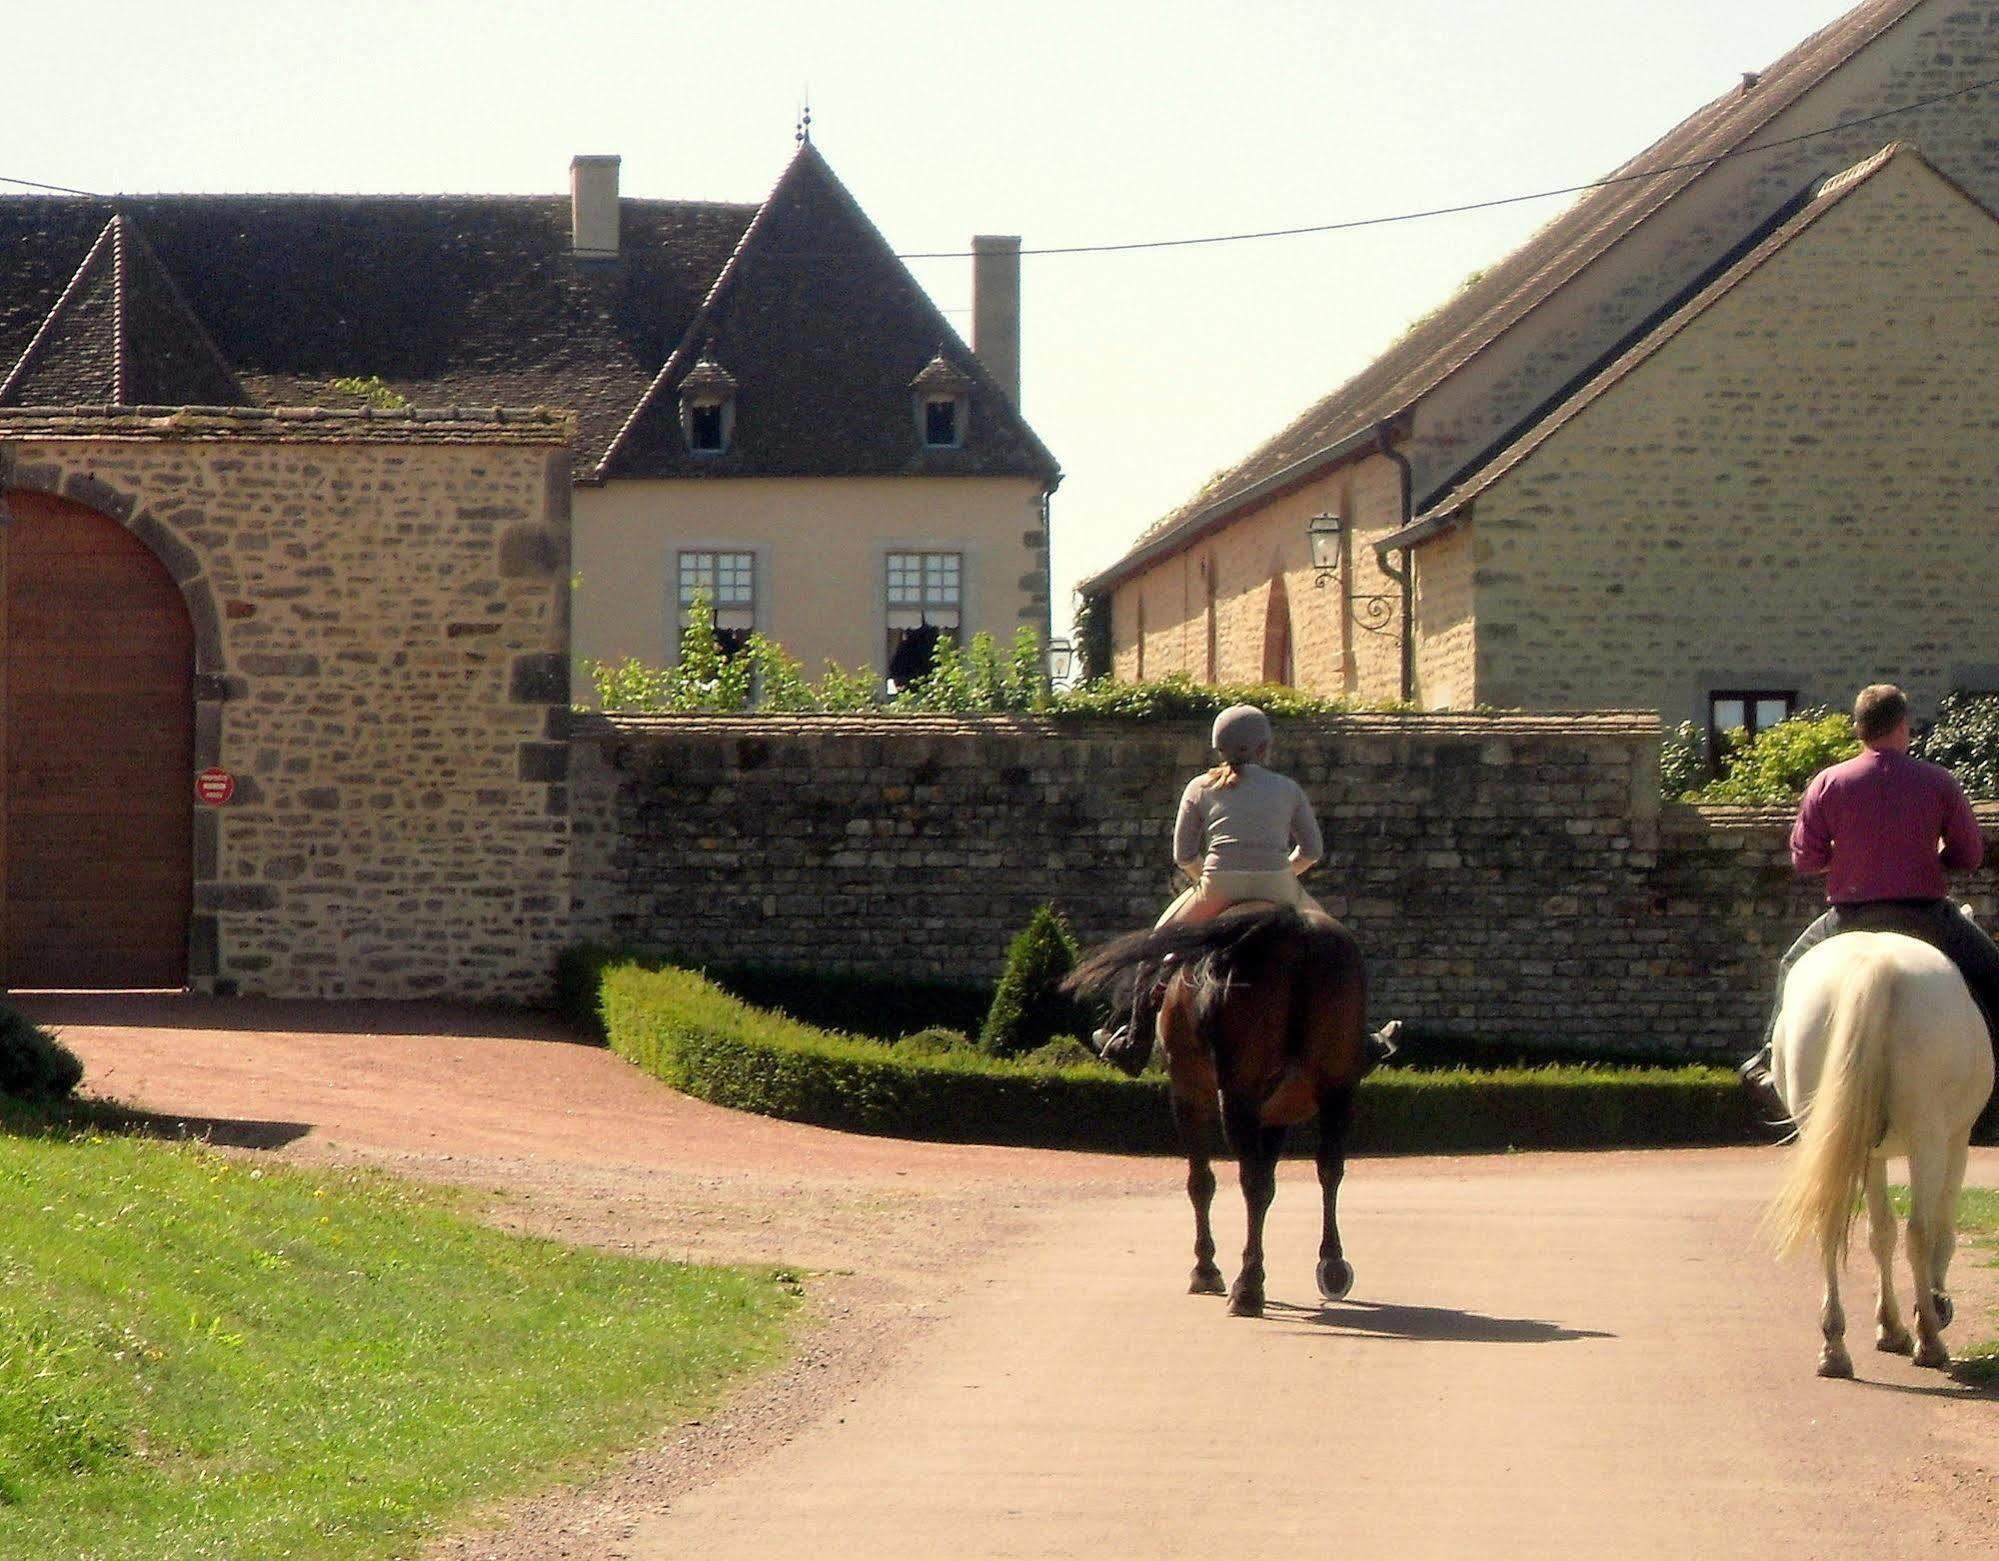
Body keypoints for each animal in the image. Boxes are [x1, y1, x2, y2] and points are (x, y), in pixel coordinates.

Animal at [1063, 899, 1375, 1319]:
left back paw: (1248, 1286)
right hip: (1336, 1089)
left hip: (1237, 1091)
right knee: (1328, 1169)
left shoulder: (1188, 1093)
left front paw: (1205, 1268)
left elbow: (1201, 1181)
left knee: (1252, 1183)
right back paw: (1332, 1264)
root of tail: (1294, 927)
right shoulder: (1276, 1112)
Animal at [1775, 931, 1991, 1367]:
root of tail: (1875, 964)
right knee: (1920, 1232)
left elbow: (1880, 1234)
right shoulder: (1956, 1141)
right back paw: (1929, 1339)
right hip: (1929, 1141)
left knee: (1830, 1225)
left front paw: (1890, 1327)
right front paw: (1928, 1309)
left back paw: (1834, 1345)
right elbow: (1938, 1231)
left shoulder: (1869, 1155)